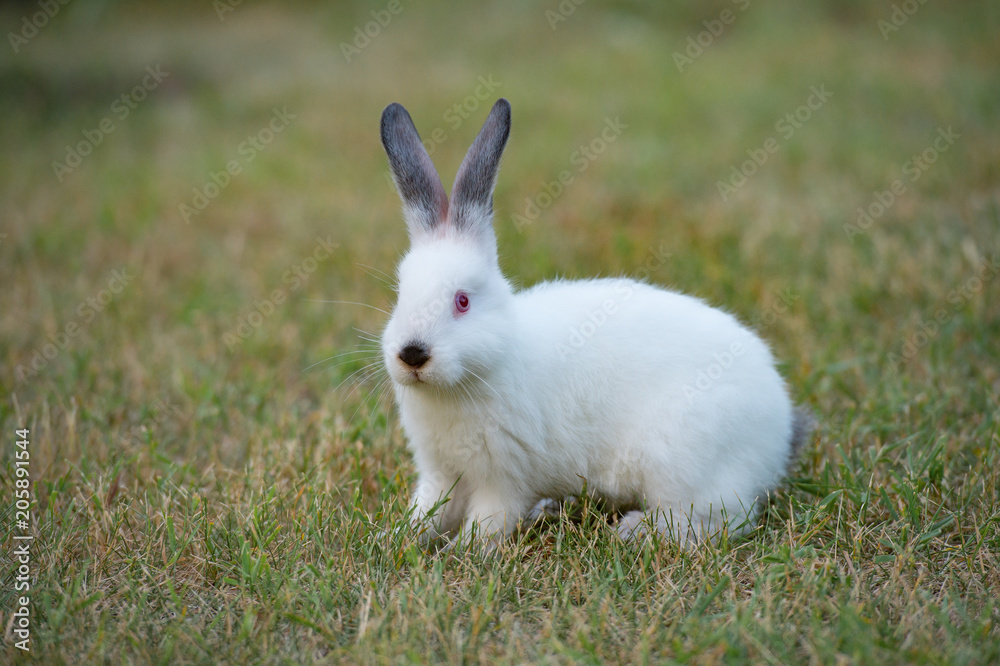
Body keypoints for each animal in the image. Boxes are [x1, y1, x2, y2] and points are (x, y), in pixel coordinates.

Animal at [378, 97, 813, 548]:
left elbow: (488, 522)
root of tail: (780, 426)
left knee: (718, 521)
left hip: (684, 467)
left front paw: (461, 551)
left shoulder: (503, 481)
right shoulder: (439, 472)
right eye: (400, 293)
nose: (412, 355)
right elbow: (428, 510)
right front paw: (396, 538)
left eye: (462, 301)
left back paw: (633, 530)